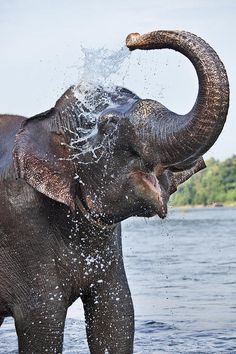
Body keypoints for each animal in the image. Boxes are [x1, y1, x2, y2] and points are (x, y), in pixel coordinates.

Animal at [0, 31, 229, 354]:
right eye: (107, 125)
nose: (132, 38)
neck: (44, 121)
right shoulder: (21, 227)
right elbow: (42, 320)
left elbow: (115, 315)